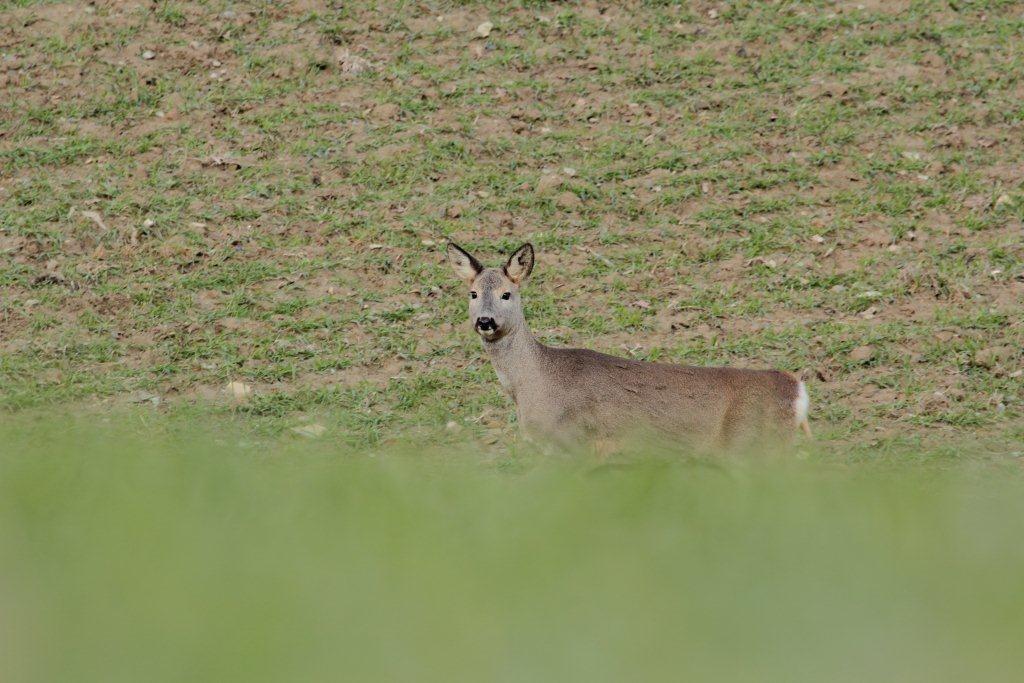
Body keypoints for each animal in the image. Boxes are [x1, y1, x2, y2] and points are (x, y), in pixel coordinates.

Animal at [444, 240, 811, 454]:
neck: (531, 383)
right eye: (473, 293)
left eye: (507, 293)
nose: (485, 321)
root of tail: (798, 392)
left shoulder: (573, 443)